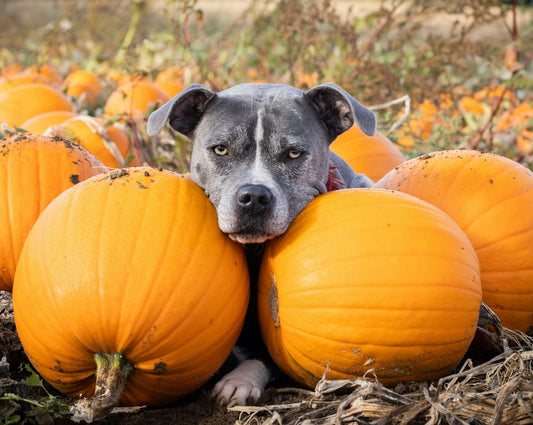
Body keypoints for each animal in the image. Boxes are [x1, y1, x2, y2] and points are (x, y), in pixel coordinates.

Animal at [145, 82, 374, 404]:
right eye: (220, 149)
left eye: (293, 153)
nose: (254, 196)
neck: (254, 250)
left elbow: (269, 353)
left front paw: (239, 380)